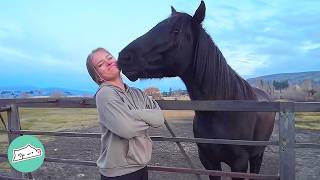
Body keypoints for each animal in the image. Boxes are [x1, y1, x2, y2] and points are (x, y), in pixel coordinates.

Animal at [117, 1, 276, 179]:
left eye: (176, 30)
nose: (124, 57)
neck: (222, 111)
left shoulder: (239, 164)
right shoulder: (208, 161)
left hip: (257, 155)